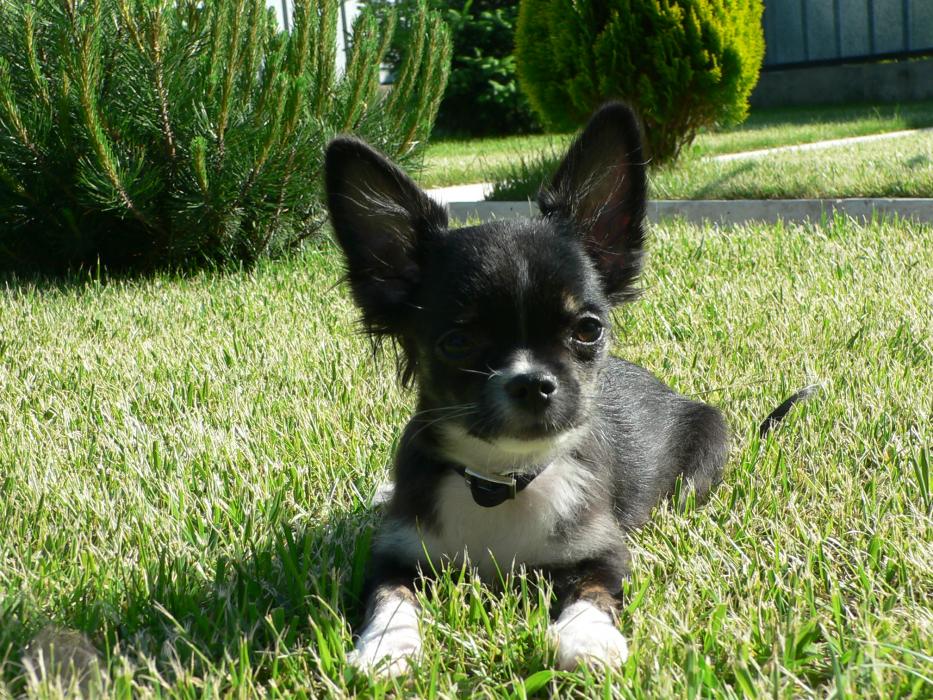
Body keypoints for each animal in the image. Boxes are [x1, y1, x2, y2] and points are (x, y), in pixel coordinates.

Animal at [324, 102, 730, 676]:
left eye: (588, 329)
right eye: (457, 342)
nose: (534, 382)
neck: (500, 478)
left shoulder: (605, 551)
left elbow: (593, 590)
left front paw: (587, 639)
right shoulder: (394, 555)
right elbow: (390, 598)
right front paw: (386, 647)